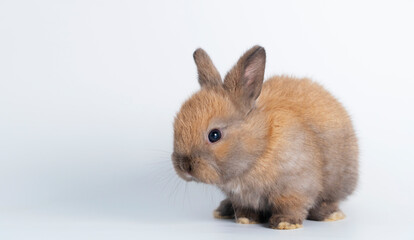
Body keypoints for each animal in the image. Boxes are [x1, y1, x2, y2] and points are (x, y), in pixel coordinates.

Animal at [171, 46, 360, 230]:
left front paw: (285, 223)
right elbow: (245, 208)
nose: (184, 166)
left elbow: (291, 206)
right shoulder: (241, 198)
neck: (260, 147)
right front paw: (246, 219)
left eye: (214, 135)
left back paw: (330, 214)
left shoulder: (295, 187)